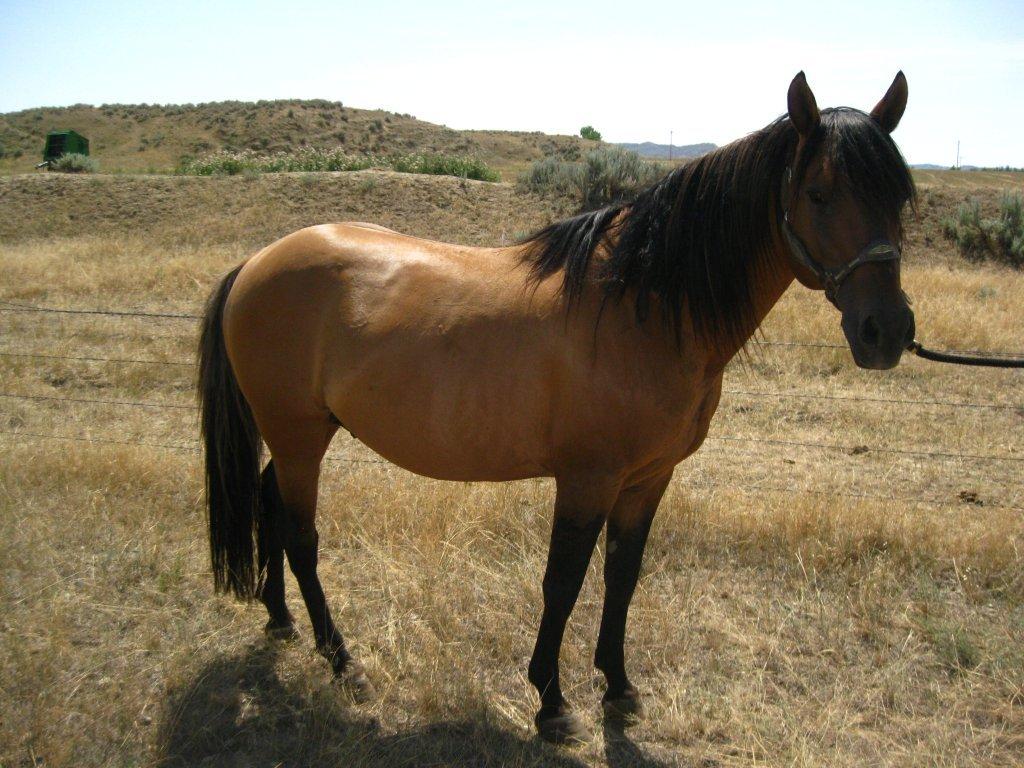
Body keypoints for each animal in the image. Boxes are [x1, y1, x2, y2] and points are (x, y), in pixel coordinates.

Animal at [198, 72, 916, 744]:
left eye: (898, 196)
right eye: (819, 193)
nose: (887, 332)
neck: (641, 304)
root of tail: (257, 262)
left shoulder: (648, 479)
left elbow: (622, 575)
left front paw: (618, 687)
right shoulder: (587, 478)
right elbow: (563, 581)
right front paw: (552, 702)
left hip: (302, 434)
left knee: (268, 503)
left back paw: (281, 621)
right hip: (298, 435)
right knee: (302, 537)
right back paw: (343, 661)